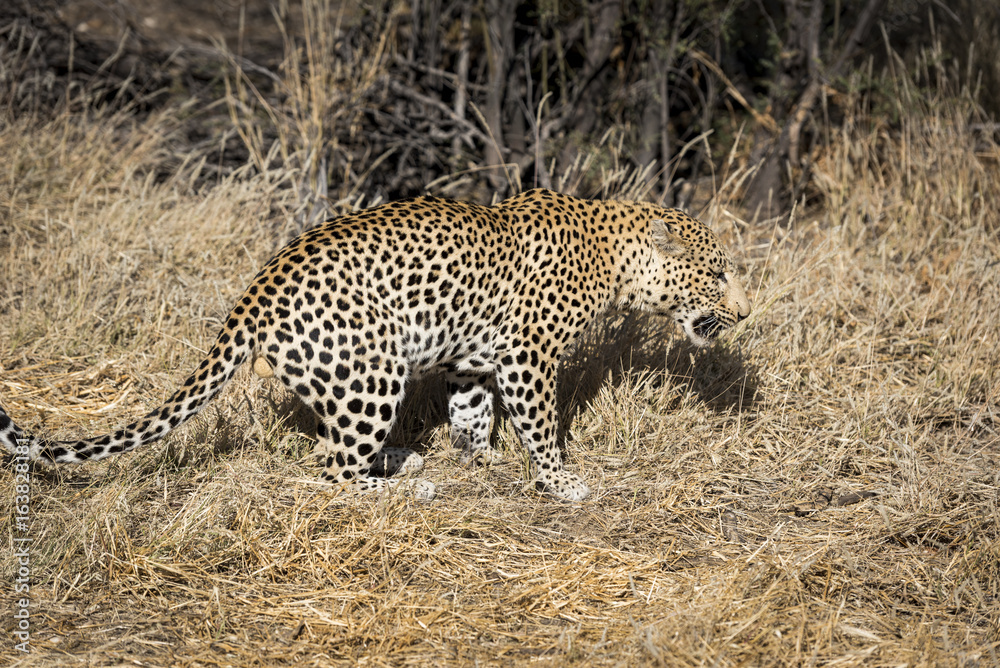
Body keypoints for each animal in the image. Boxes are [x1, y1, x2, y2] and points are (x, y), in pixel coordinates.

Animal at [0, 188, 750, 502]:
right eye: (716, 274)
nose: (743, 313)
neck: (615, 258)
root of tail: (254, 293)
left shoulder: (470, 358)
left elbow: (472, 417)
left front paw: (483, 460)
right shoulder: (528, 356)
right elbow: (540, 425)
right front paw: (559, 480)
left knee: (328, 448)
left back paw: (403, 461)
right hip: (375, 370)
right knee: (331, 472)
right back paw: (401, 489)